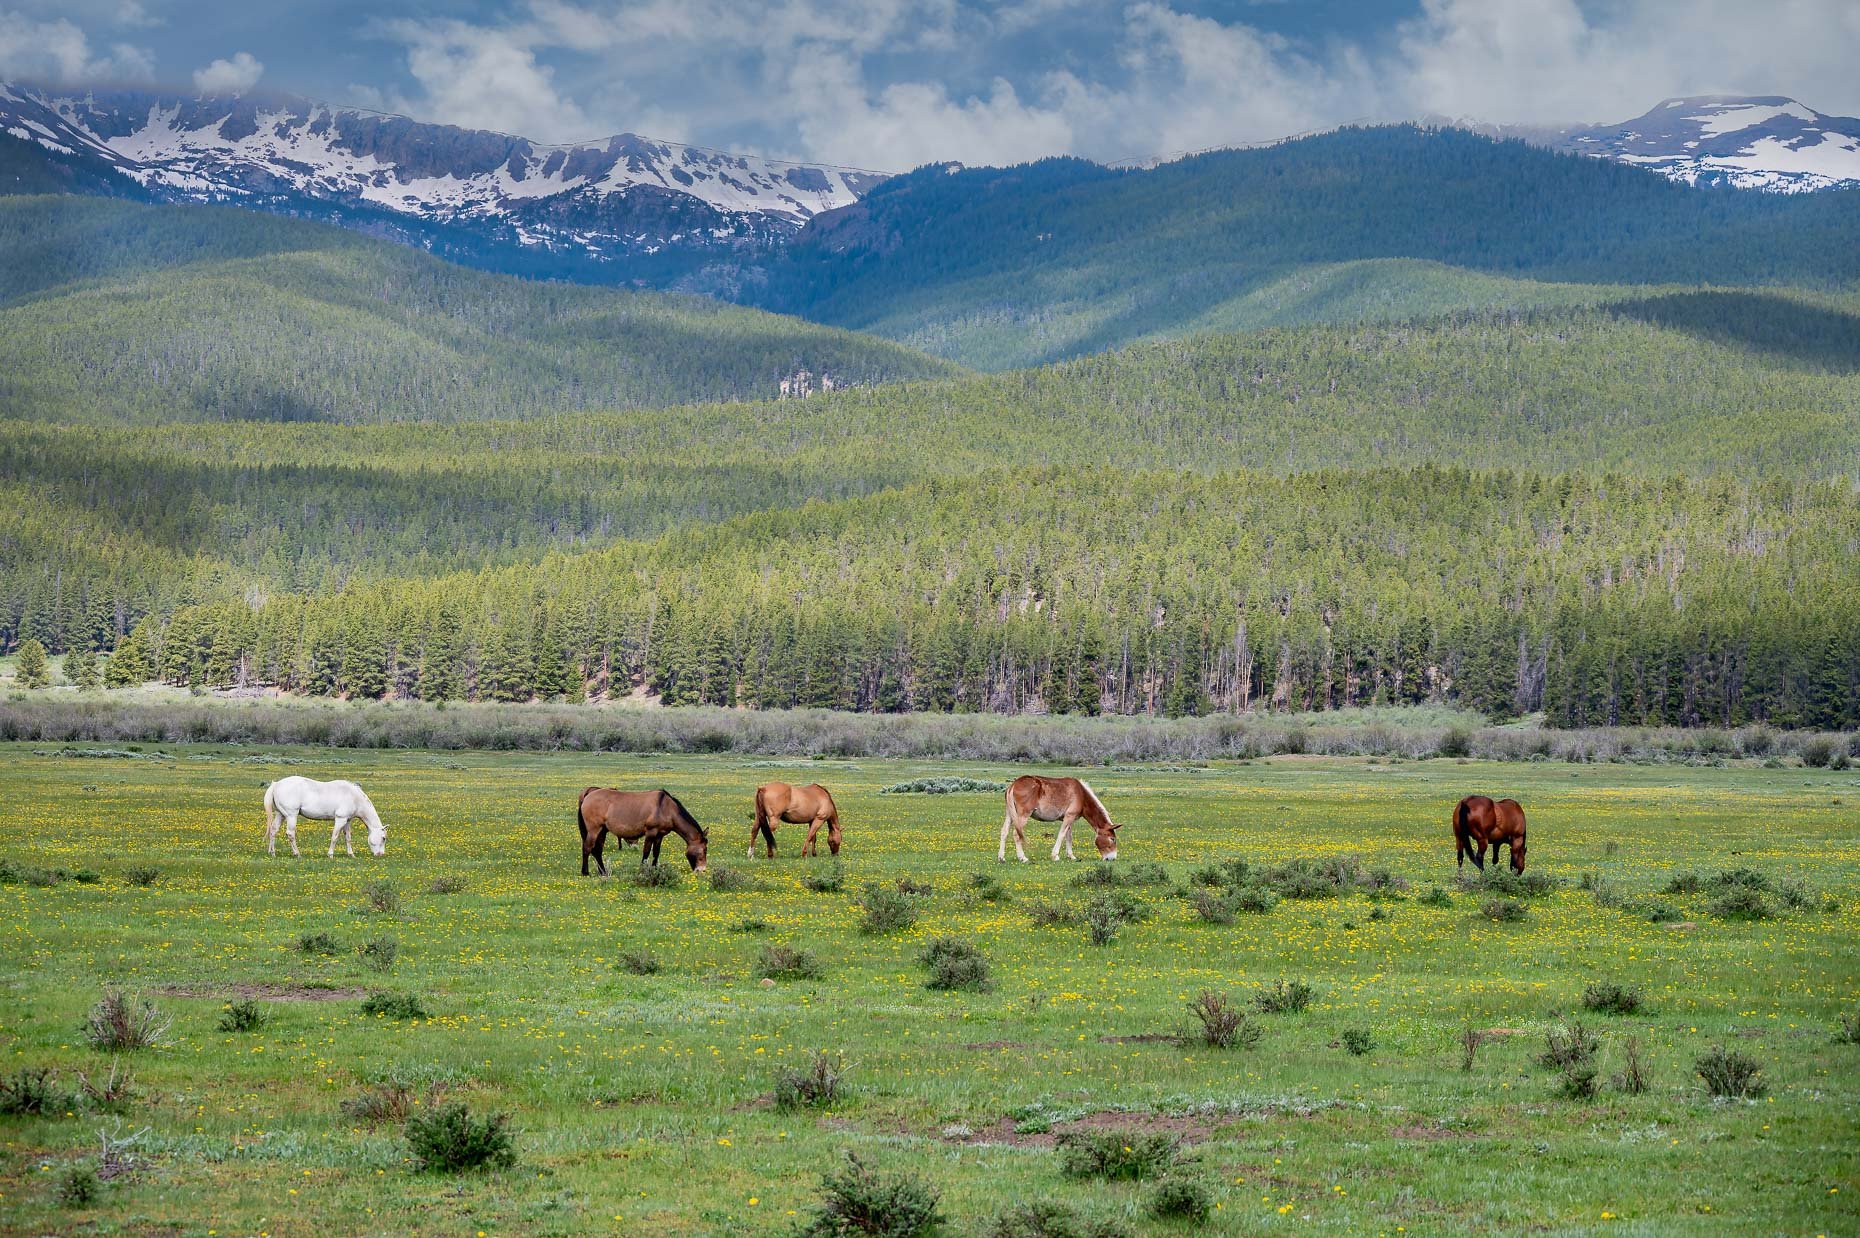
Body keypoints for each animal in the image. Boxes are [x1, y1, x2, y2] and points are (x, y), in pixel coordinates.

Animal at [577, 787, 709, 876]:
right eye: (704, 850)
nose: (702, 870)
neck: (666, 808)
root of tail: (587, 796)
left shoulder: (660, 835)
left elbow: (656, 853)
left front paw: (655, 870)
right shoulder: (650, 832)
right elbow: (646, 852)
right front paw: (642, 871)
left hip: (602, 831)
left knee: (598, 850)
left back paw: (603, 872)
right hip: (594, 830)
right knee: (587, 848)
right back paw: (585, 872)